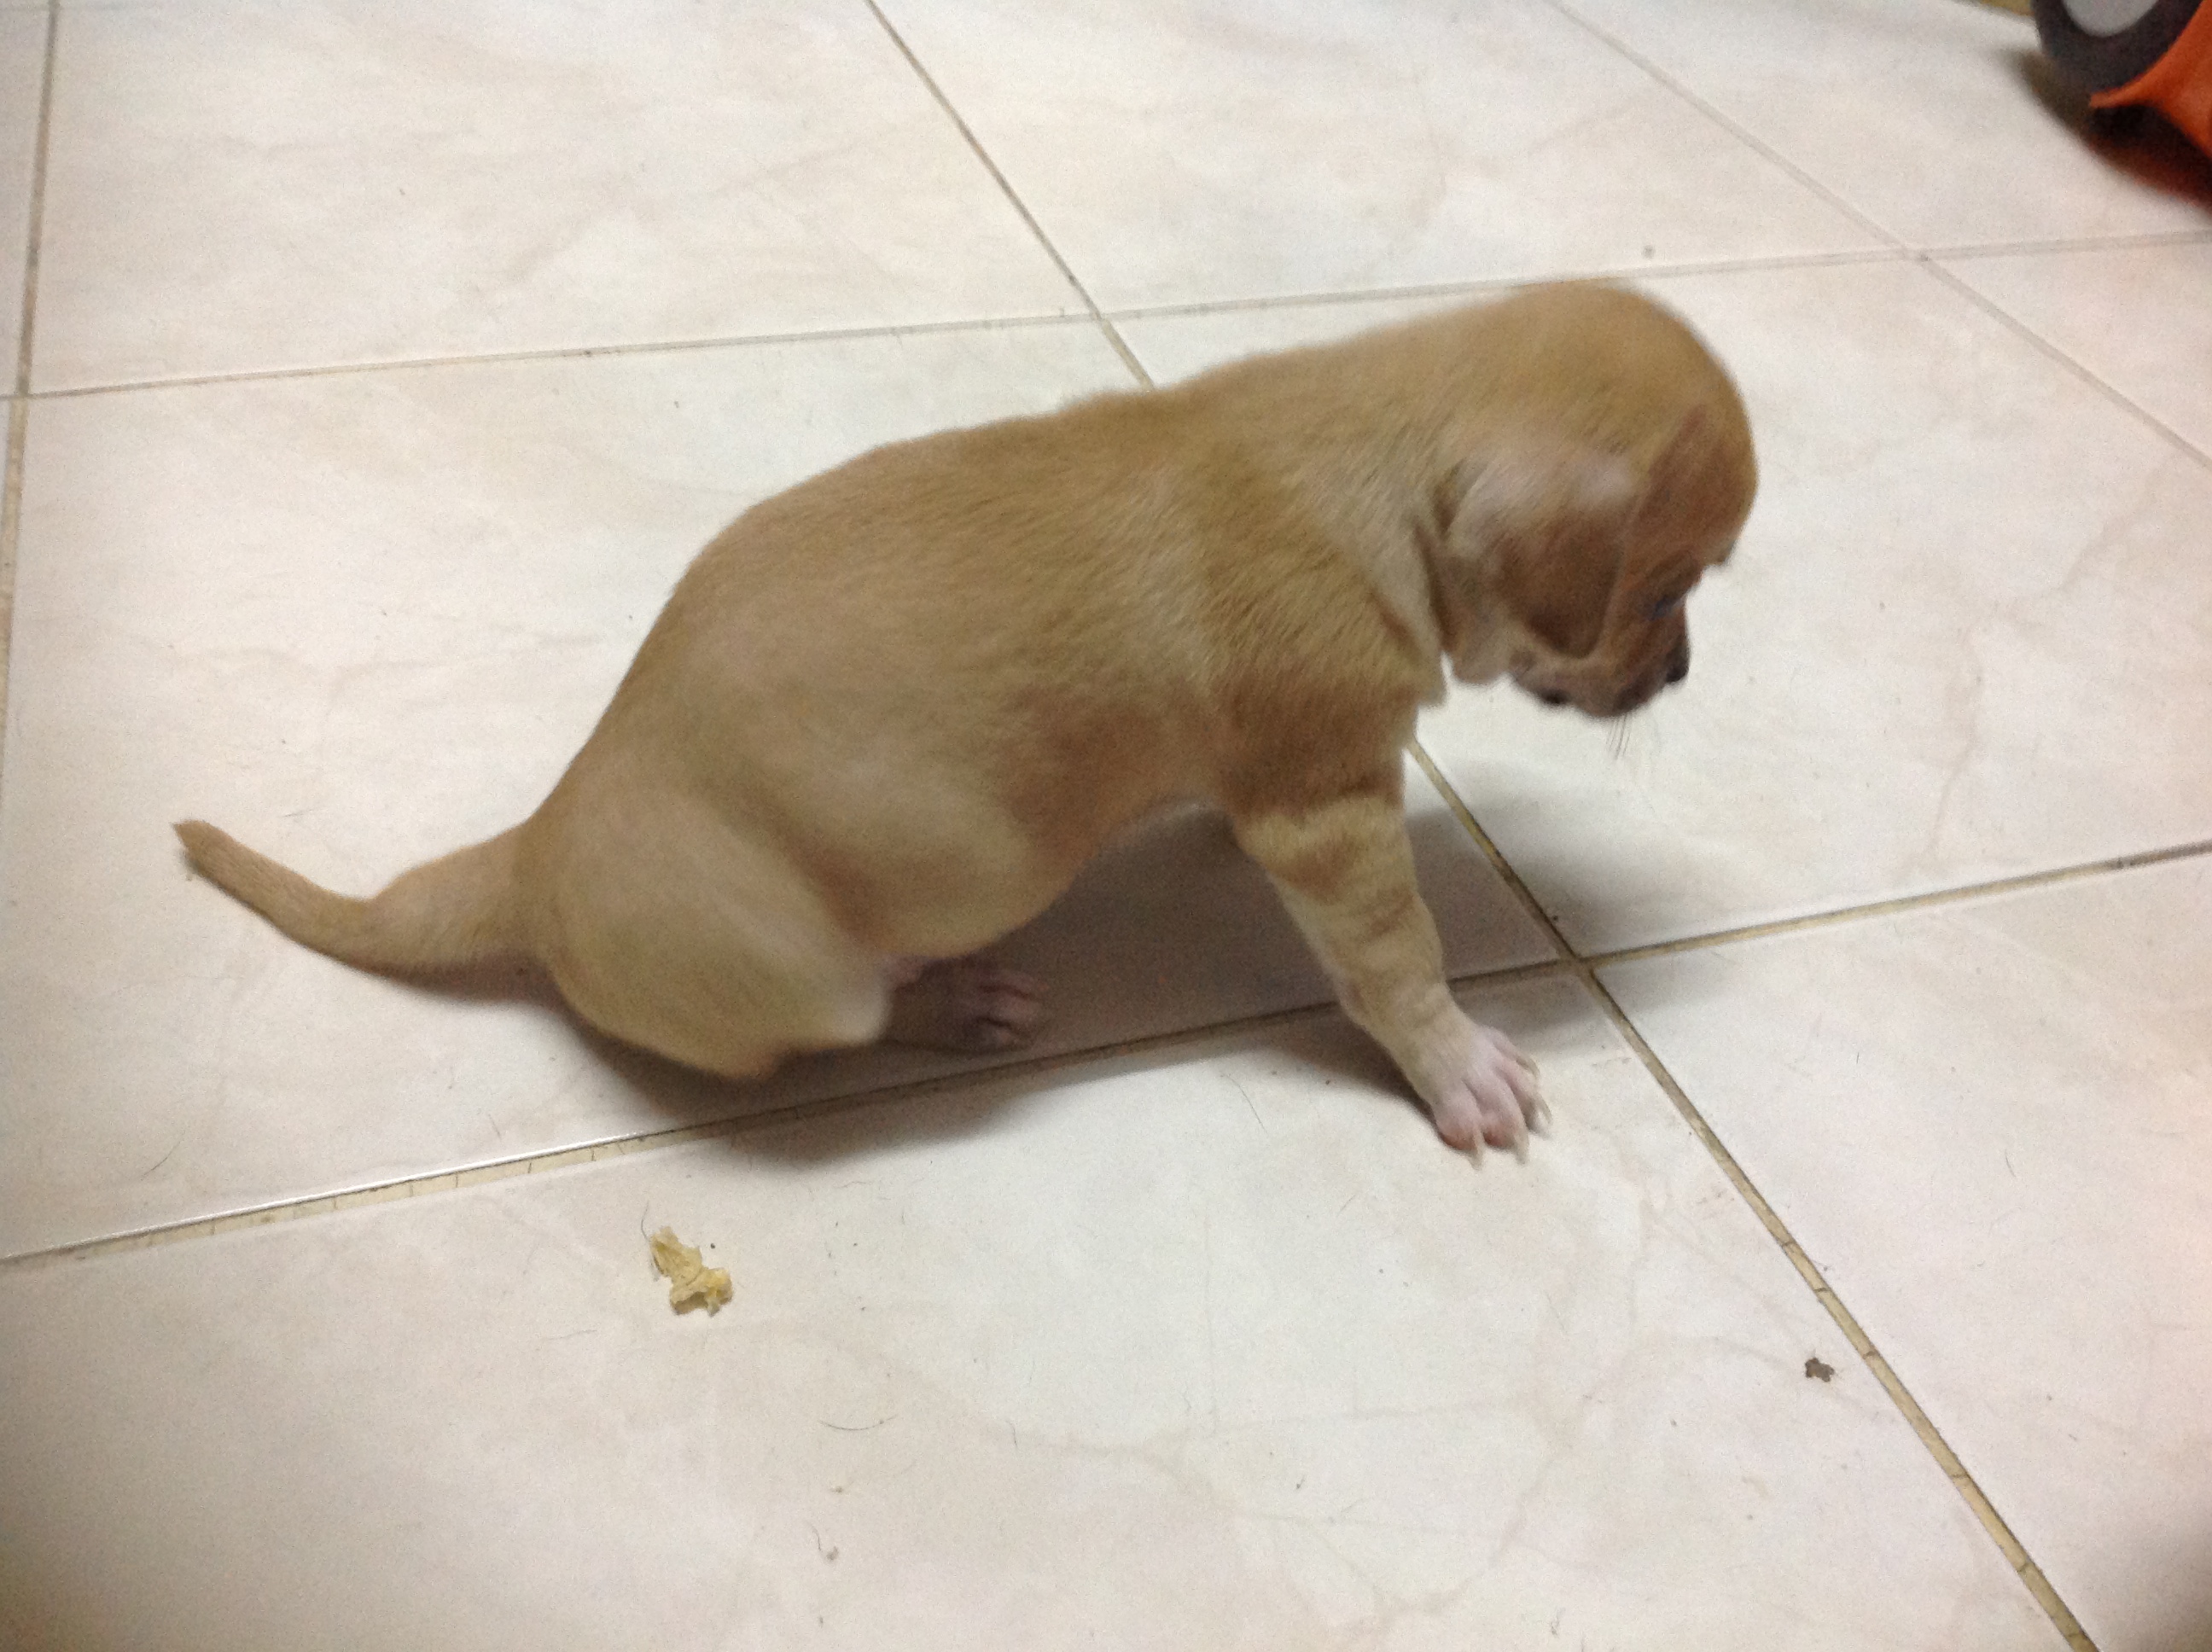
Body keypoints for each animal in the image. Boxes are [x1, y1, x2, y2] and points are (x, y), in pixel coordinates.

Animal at [176, 282, 1756, 1157]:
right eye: (1664, 587)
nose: (1682, 675)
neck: (1377, 442)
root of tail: (540, 840)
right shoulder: (1332, 820)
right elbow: (1399, 960)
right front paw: (1460, 1065)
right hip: (808, 976)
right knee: (851, 1024)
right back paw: (948, 1001)